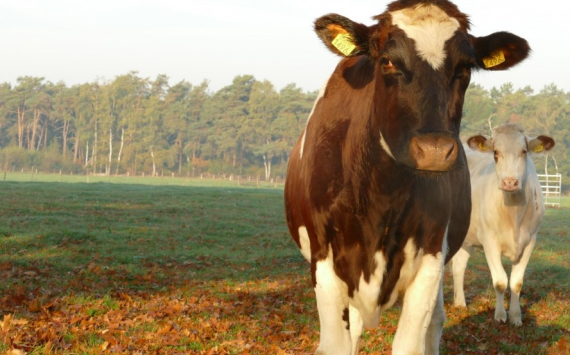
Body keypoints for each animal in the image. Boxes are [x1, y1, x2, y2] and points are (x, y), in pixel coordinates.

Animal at [284, 0, 528, 355]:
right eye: (386, 60)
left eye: (465, 68)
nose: (435, 150)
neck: (380, 196)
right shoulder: (325, 264)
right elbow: (336, 344)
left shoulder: (431, 256)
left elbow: (411, 342)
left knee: (435, 322)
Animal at [448, 124, 552, 326]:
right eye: (496, 152)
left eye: (524, 151)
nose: (509, 182)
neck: (514, 213)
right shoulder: (489, 241)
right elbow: (501, 281)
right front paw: (500, 315)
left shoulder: (530, 241)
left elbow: (516, 282)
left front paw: (516, 316)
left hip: (466, 238)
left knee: (458, 266)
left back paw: (460, 303)